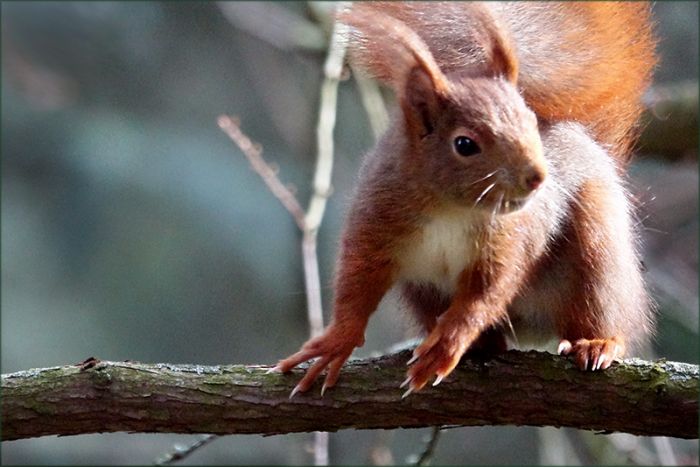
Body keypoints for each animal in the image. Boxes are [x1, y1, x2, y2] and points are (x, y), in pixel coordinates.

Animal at [274, 1, 657, 397]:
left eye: (531, 122)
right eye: (465, 144)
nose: (537, 177)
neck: (452, 208)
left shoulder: (507, 241)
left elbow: (483, 296)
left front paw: (447, 346)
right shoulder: (376, 218)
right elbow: (357, 282)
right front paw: (337, 341)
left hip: (597, 252)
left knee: (602, 309)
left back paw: (597, 342)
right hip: (423, 292)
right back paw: (482, 346)